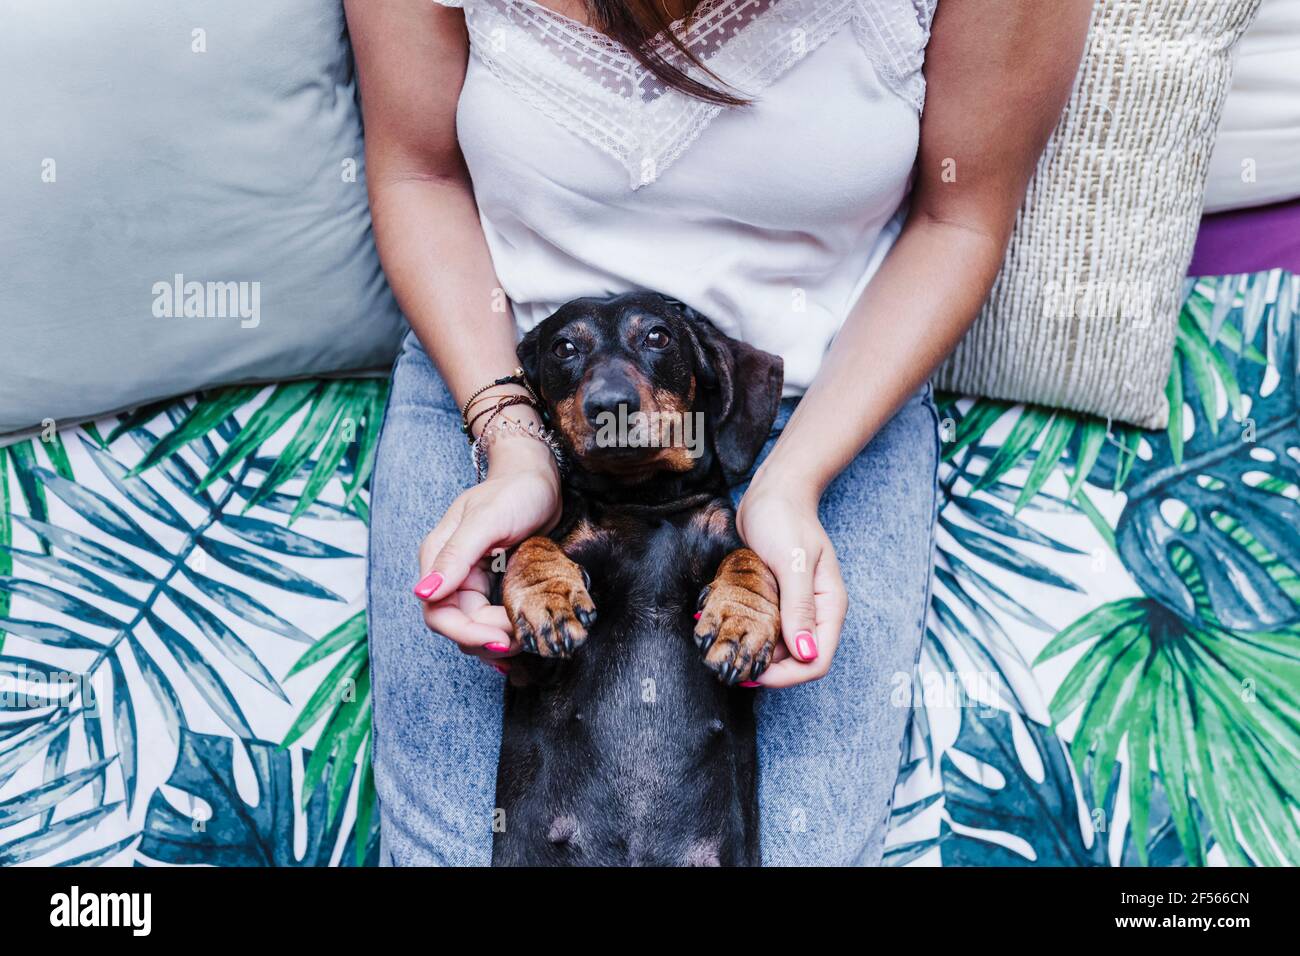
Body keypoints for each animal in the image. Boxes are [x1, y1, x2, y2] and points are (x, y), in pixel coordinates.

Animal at [488, 291, 780, 868]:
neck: (643, 501)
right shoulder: (525, 666)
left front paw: (741, 621)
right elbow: (529, 544)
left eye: (658, 336)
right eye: (564, 347)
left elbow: (751, 557)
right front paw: (548, 598)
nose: (610, 404)